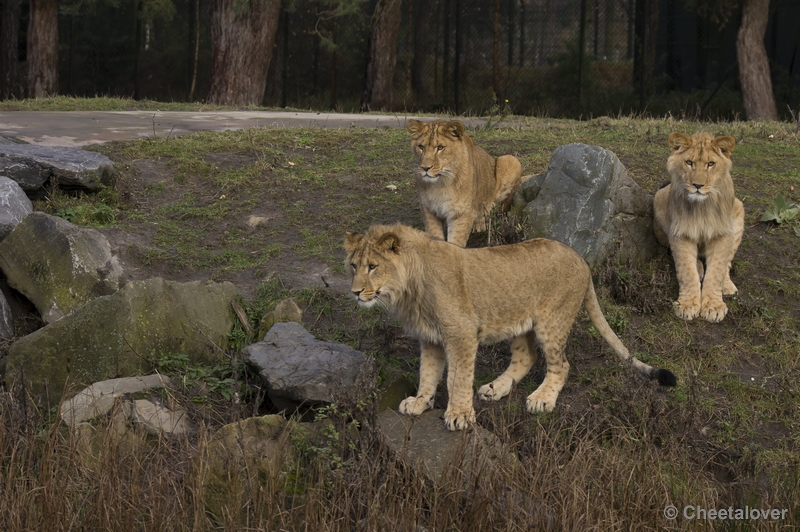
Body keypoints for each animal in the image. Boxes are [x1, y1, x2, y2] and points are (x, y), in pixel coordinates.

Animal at [344, 222, 676, 430]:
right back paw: (495, 388)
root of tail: (581, 259)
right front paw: (419, 402)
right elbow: (428, 373)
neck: (408, 288)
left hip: (551, 322)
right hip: (518, 323)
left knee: (561, 365)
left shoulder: (461, 333)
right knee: (526, 357)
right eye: (353, 266)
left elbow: (457, 379)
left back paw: (542, 400)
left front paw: (459, 416)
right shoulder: (431, 338)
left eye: (372, 267)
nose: (355, 292)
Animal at [406, 118, 524, 247]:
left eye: (440, 147)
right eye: (421, 147)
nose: (425, 168)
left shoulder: (461, 213)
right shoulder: (429, 210)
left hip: (510, 160)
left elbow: (455, 242)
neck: (440, 183)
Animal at [652, 132, 748, 324]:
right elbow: (686, 270)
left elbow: (717, 269)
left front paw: (713, 306)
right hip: (659, 199)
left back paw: (727, 285)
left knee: (727, 264)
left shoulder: (723, 233)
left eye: (710, 164)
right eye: (689, 162)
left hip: (738, 209)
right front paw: (687, 304)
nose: (697, 186)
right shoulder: (680, 232)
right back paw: (699, 267)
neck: (702, 206)